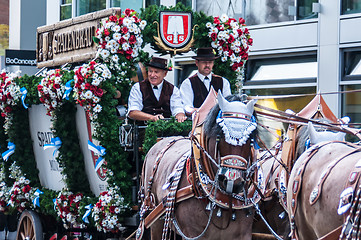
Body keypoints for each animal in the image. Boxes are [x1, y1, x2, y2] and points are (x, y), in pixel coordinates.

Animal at [136, 92, 262, 240]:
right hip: (155, 220)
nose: (233, 181)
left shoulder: (243, 234)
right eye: (219, 135)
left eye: (250, 138)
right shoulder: (193, 234)